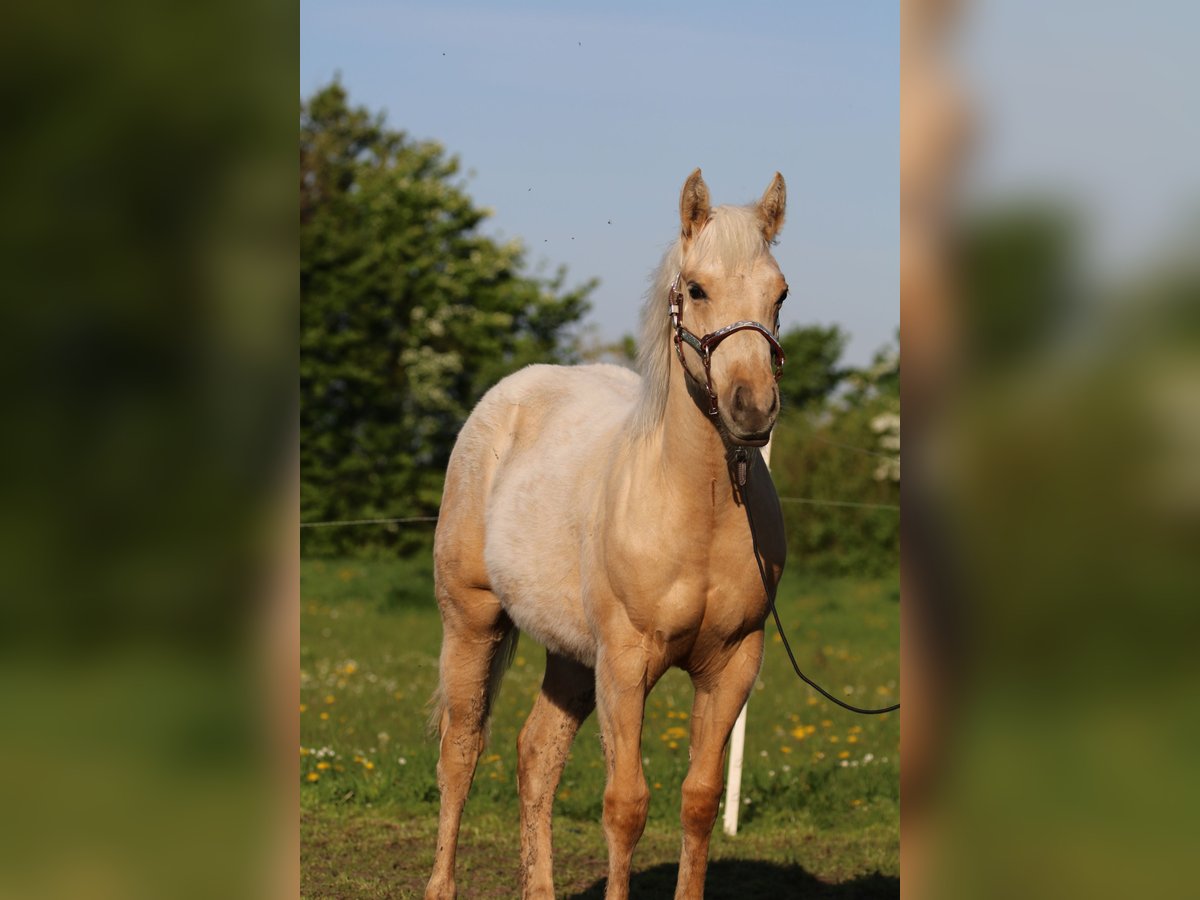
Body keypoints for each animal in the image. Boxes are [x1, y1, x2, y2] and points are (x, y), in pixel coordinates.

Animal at [427, 170, 792, 900]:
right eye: (696, 289)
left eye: (780, 293)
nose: (752, 407)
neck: (699, 508)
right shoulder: (626, 663)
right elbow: (626, 806)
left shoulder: (733, 665)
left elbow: (699, 800)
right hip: (472, 622)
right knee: (461, 752)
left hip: (571, 654)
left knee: (535, 755)